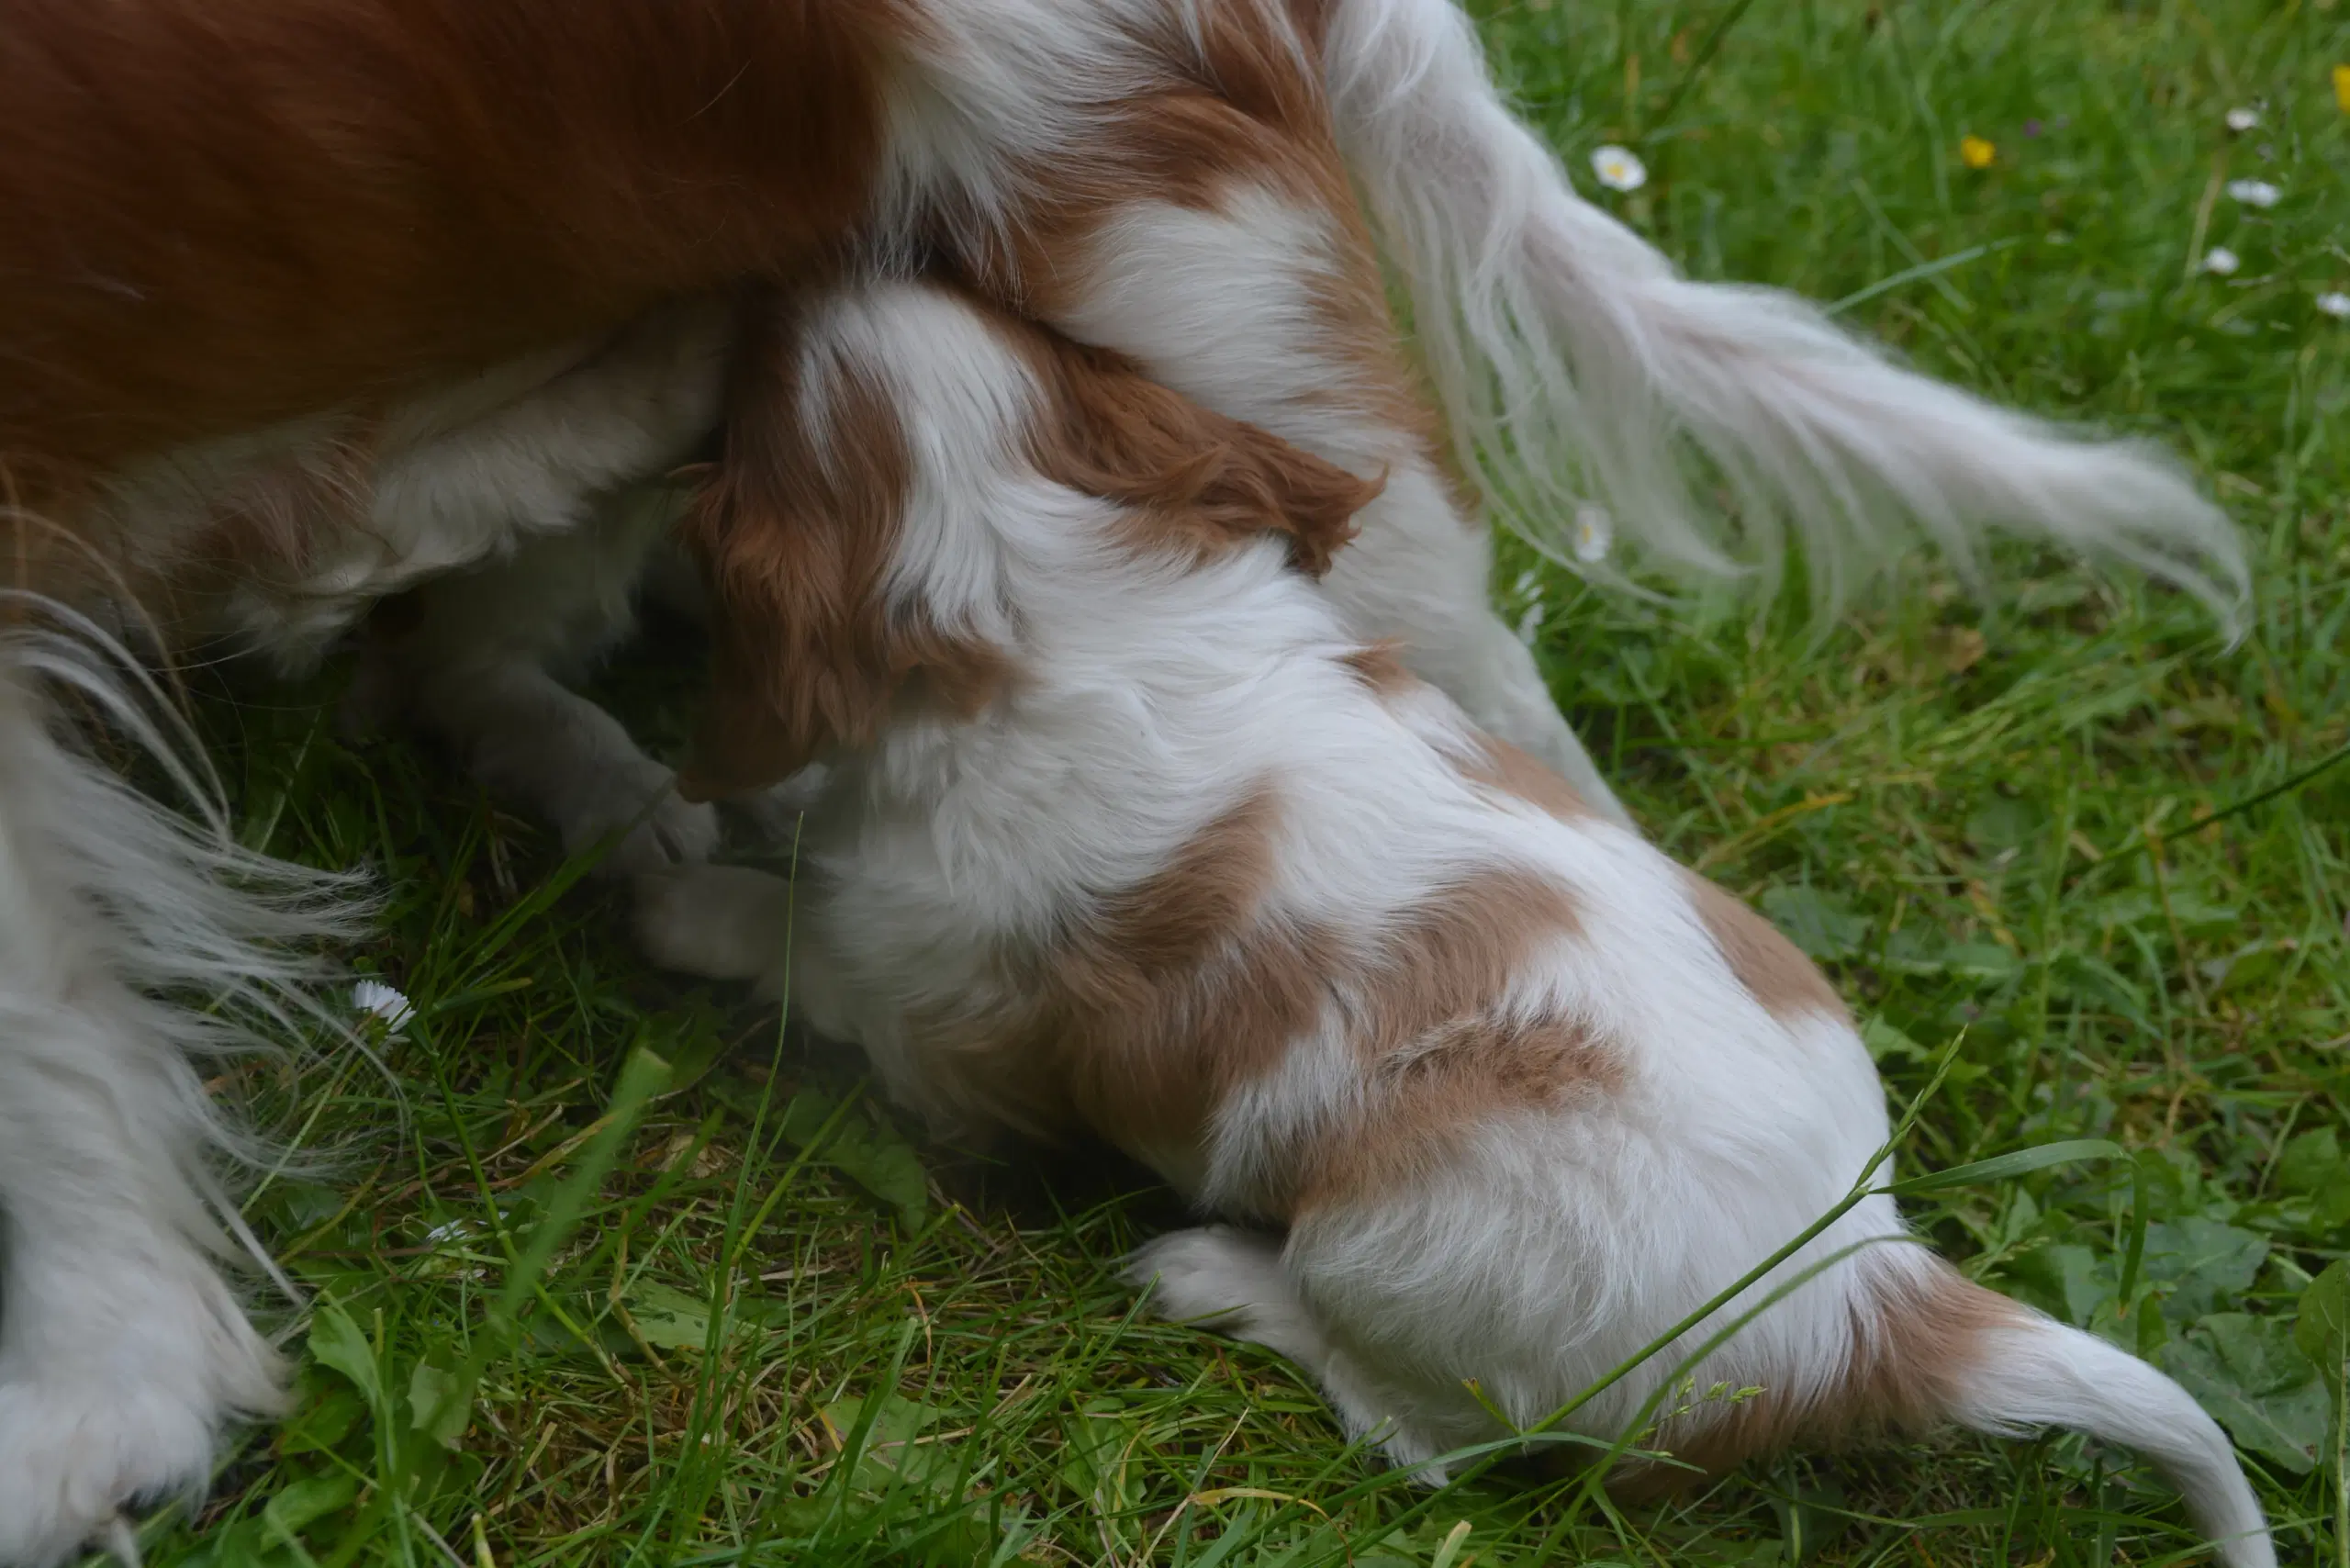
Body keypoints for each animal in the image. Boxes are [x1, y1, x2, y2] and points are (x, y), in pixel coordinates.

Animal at [639, 278, 2275, 1568]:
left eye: (759, 401)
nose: (794, 274)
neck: (1055, 592)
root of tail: (1872, 1293)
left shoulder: (930, 1001)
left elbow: (804, 943)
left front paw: (682, 893)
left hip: (1397, 1241)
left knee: (1425, 1440)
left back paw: (1217, 1279)